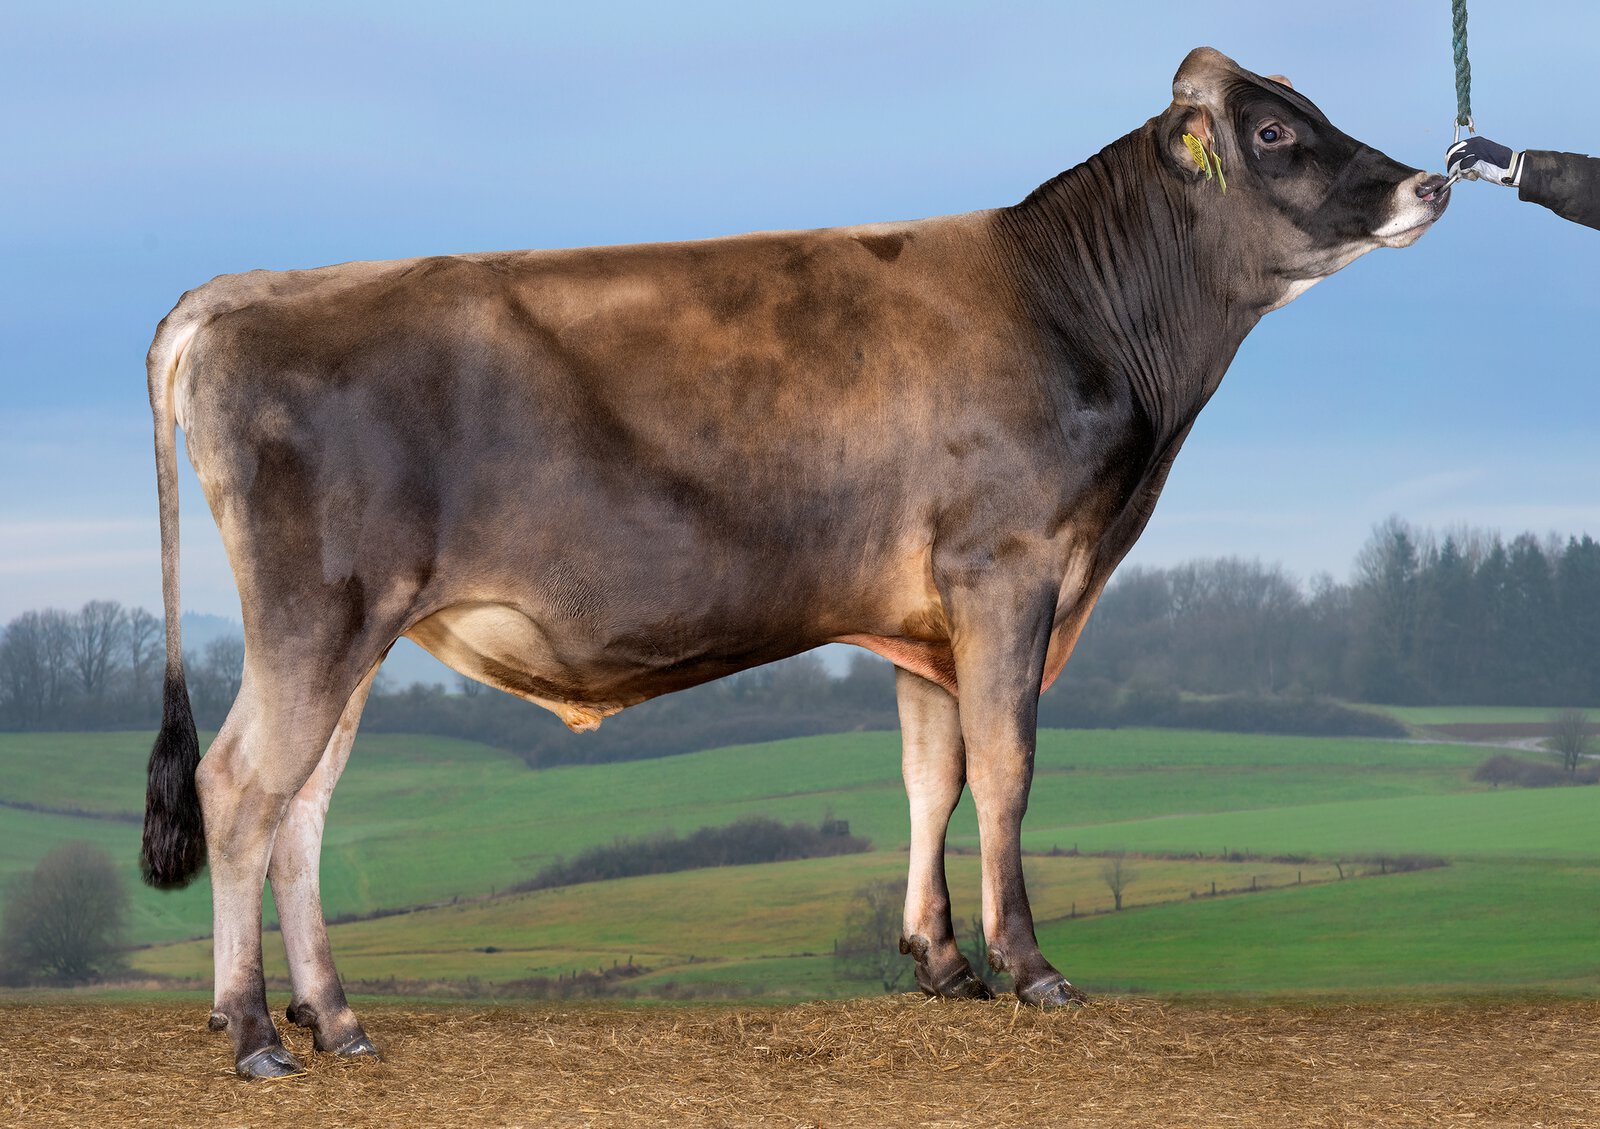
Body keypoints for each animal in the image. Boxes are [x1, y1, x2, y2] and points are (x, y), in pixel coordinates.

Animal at [141, 47, 1449, 1078]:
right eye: (1273, 131)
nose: (1429, 180)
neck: (1079, 315)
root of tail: (245, 289)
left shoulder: (925, 616)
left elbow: (933, 775)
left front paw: (940, 961)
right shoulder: (1008, 569)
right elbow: (1008, 768)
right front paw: (1029, 967)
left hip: (355, 630)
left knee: (304, 806)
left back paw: (336, 1018)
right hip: (318, 613)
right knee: (241, 787)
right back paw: (252, 1030)